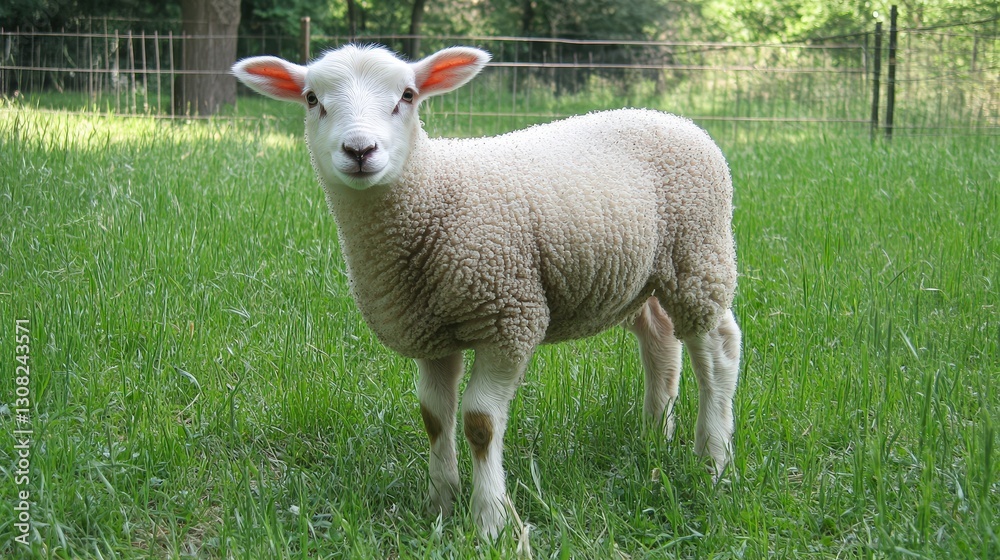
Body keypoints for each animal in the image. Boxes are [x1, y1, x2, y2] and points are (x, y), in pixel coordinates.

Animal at [232, 44, 741, 539]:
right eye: (312, 99)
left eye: (408, 95)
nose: (360, 150)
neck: (432, 193)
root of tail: (675, 118)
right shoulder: (430, 330)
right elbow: (434, 416)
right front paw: (440, 504)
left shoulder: (509, 317)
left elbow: (480, 421)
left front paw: (490, 521)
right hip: (642, 275)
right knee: (661, 339)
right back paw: (654, 436)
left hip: (698, 254)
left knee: (718, 350)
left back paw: (712, 459)